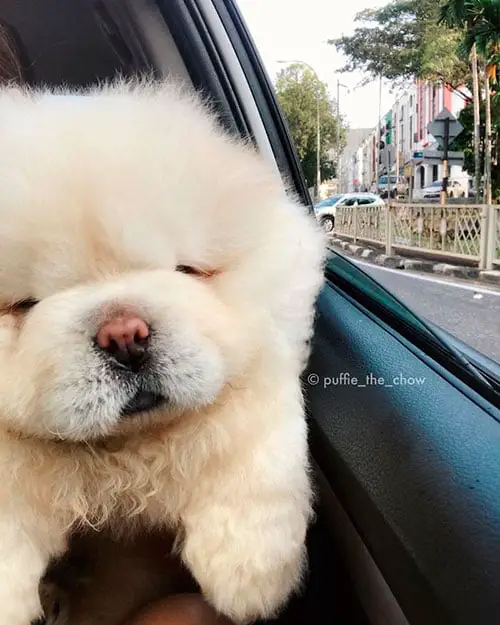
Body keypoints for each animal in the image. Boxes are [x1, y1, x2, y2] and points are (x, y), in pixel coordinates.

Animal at [0, 79, 326, 624]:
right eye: (25, 305)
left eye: (187, 271)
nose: (124, 335)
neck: (126, 452)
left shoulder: (268, 337)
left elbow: (253, 432)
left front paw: (249, 571)